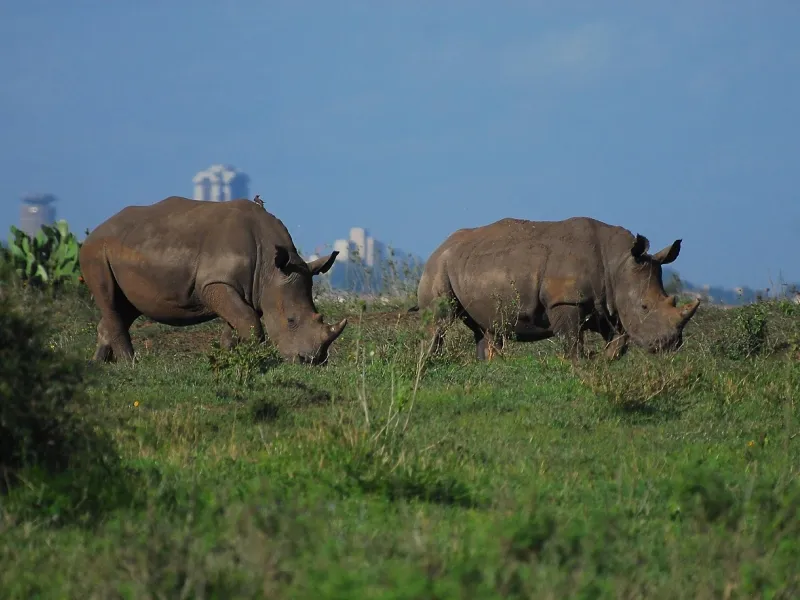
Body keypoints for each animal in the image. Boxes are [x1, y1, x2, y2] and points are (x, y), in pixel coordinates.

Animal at [79, 196, 347, 364]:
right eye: (291, 321)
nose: (313, 361)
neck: (270, 269)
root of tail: (95, 231)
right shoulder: (216, 283)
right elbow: (249, 321)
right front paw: (255, 357)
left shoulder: (247, 288)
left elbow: (238, 323)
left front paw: (230, 357)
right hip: (96, 251)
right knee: (109, 300)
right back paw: (130, 364)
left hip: (124, 248)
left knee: (125, 306)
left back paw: (100, 364)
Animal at [412, 216, 700, 360]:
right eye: (644, 306)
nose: (670, 345)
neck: (617, 262)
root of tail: (441, 244)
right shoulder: (565, 300)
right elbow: (571, 342)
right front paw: (580, 364)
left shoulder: (608, 304)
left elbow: (619, 341)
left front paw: (602, 360)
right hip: (439, 265)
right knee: (439, 319)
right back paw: (431, 363)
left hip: (471, 264)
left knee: (486, 329)